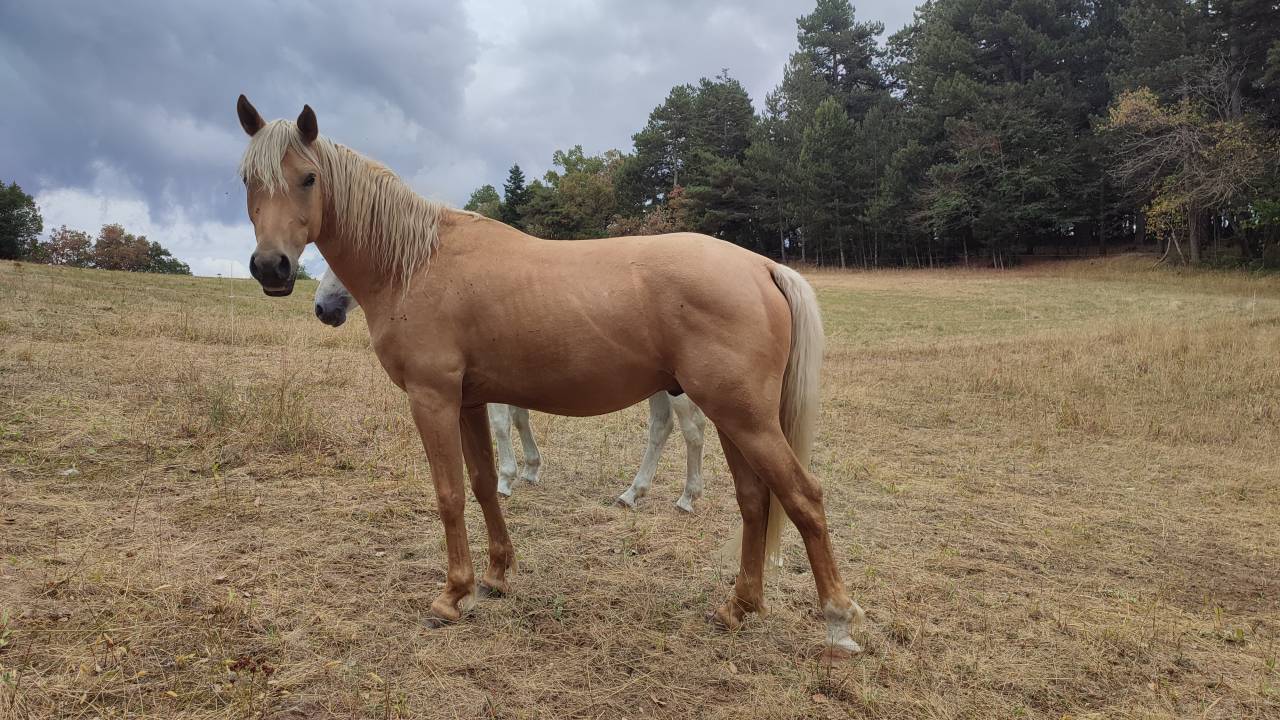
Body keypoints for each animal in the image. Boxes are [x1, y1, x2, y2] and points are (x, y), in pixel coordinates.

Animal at [314, 269, 708, 509]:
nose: (323, 308)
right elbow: (520, 420)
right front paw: (531, 470)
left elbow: (503, 424)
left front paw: (506, 480)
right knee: (661, 428)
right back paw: (632, 493)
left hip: (678, 389)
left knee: (692, 431)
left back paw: (687, 498)